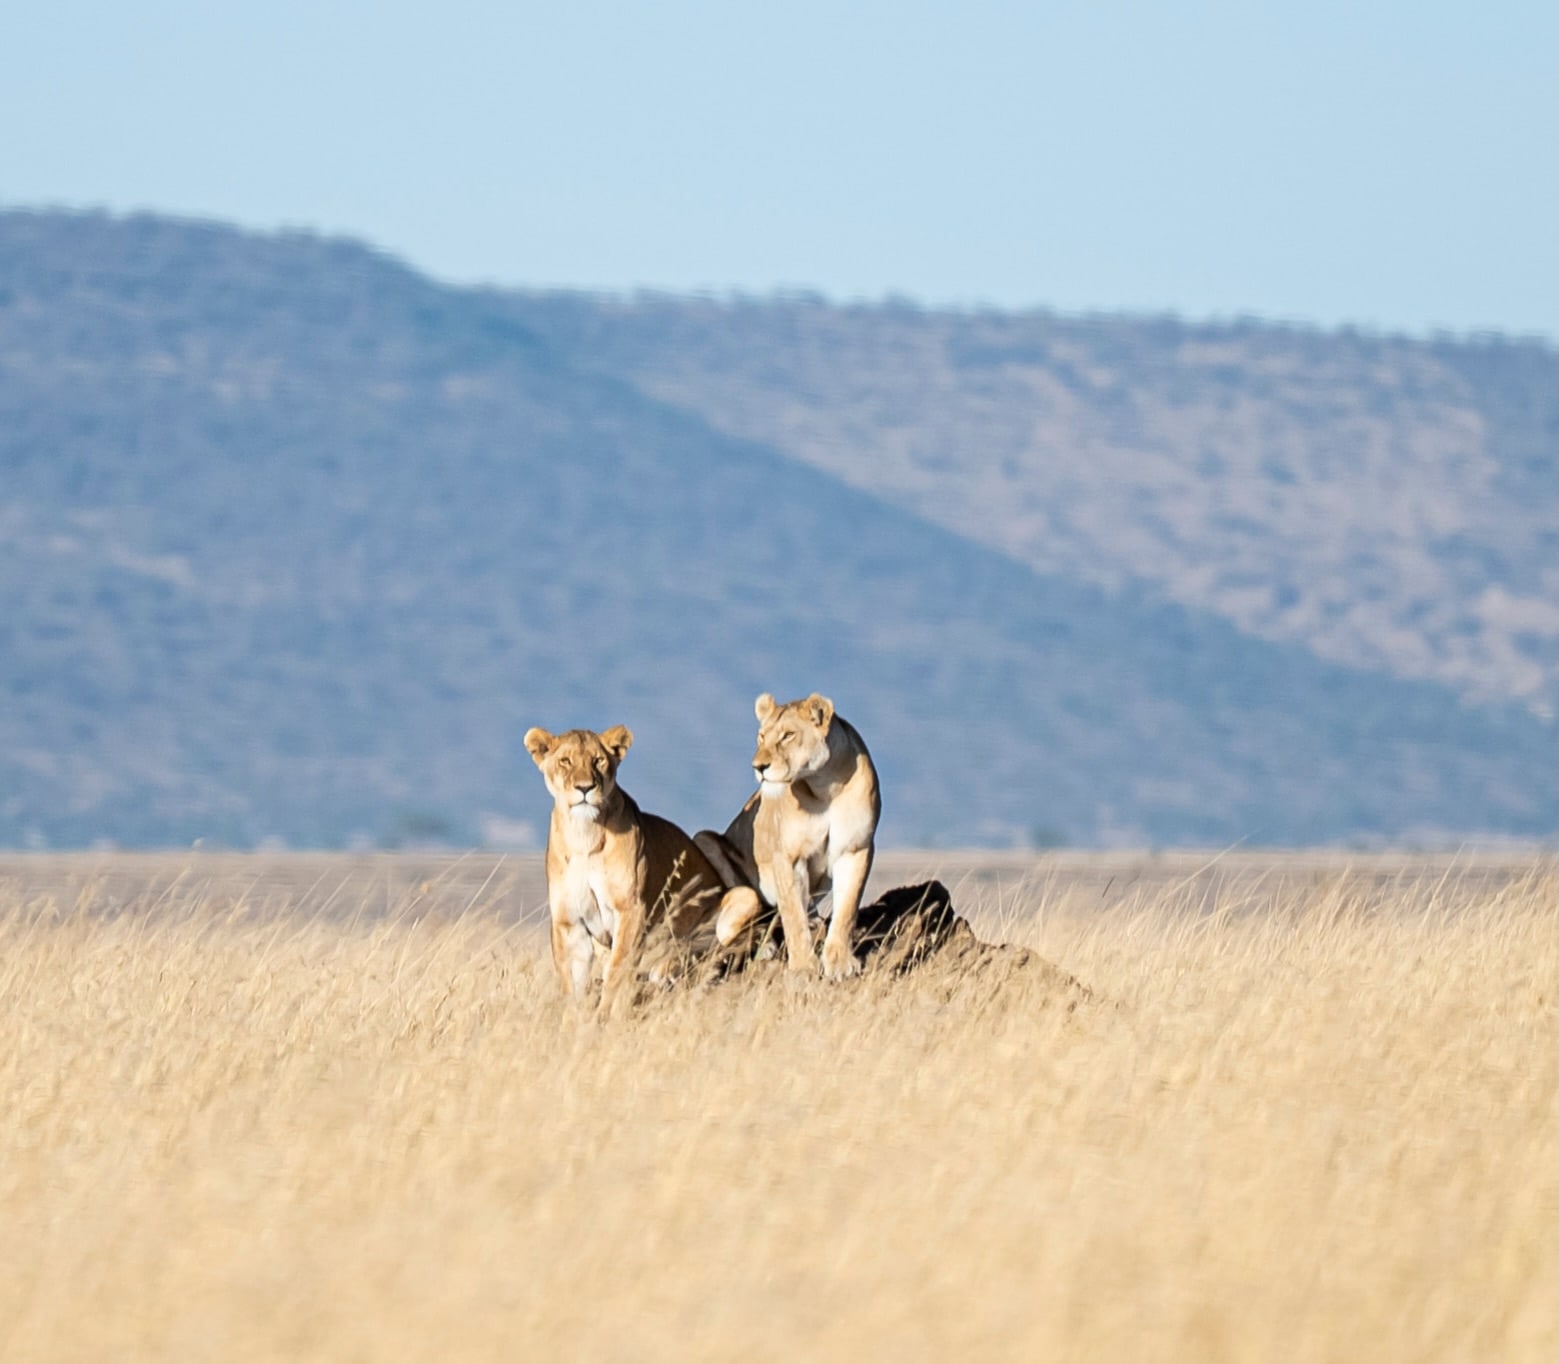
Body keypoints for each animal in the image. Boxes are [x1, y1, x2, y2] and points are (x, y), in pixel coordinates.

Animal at [525, 724, 761, 1014]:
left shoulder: (630, 909)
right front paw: (575, 1019)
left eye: (598, 760)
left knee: (716, 951)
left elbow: (617, 969)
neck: (585, 834)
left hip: (742, 898)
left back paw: (668, 966)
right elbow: (573, 985)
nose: (585, 787)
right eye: (565, 761)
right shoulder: (569, 921)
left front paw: (607, 1014)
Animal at [695, 693, 881, 979]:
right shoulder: (788, 856)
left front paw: (839, 963)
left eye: (788, 735)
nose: (759, 767)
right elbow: (793, 916)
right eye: (761, 737)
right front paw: (803, 968)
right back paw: (768, 946)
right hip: (704, 839)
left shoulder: (855, 848)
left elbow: (847, 909)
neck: (823, 786)